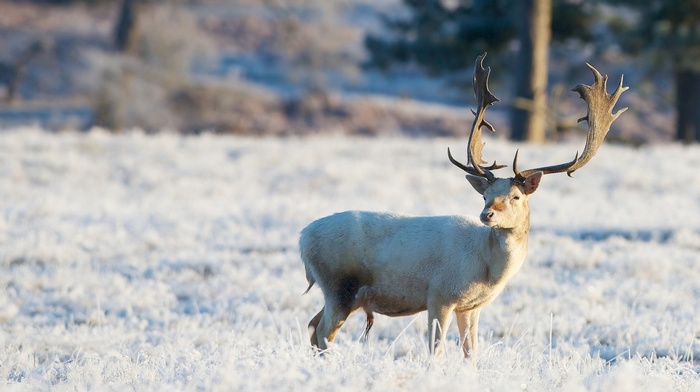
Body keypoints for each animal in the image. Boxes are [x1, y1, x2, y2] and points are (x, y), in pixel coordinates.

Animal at [298, 54, 628, 358]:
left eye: (516, 196)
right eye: (484, 195)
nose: (487, 214)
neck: (487, 268)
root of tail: (302, 239)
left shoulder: (471, 307)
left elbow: (471, 352)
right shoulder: (439, 294)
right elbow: (436, 349)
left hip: (342, 293)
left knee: (313, 326)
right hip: (340, 284)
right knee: (323, 332)